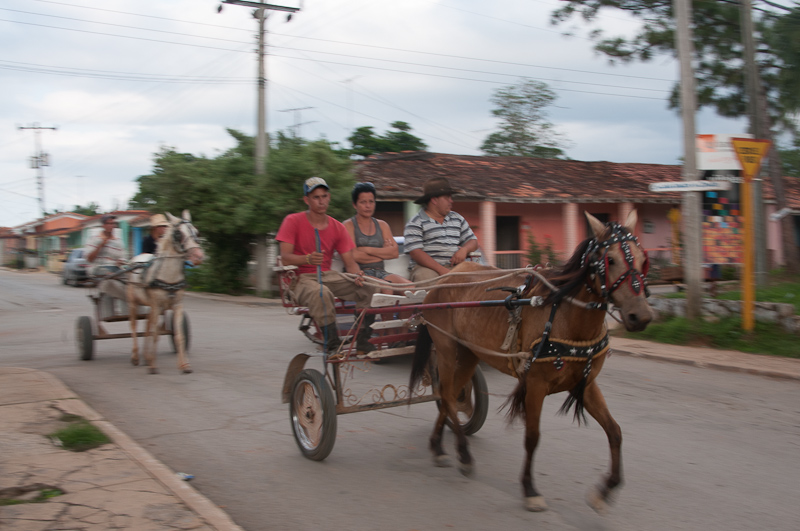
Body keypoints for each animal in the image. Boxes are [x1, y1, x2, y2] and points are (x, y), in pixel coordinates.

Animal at [126, 211, 205, 374]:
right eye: (178, 234)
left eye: (196, 231)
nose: (198, 257)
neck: (169, 276)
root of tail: (135, 259)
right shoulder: (157, 305)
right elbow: (156, 334)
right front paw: (153, 366)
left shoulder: (177, 305)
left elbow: (179, 335)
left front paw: (185, 365)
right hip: (133, 302)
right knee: (134, 326)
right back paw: (136, 356)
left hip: (151, 306)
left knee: (147, 325)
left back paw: (146, 356)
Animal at [410, 210, 652, 512]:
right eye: (610, 260)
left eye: (643, 259)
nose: (640, 316)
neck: (565, 315)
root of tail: (444, 280)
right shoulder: (536, 384)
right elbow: (533, 437)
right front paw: (529, 488)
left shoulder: (585, 384)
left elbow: (615, 431)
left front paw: (606, 489)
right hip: (445, 348)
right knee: (446, 393)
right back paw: (463, 454)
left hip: (468, 354)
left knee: (451, 395)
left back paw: (439, 445)